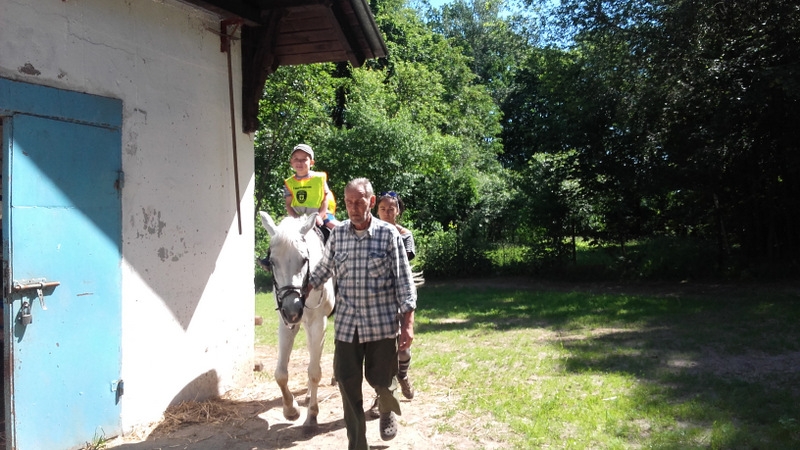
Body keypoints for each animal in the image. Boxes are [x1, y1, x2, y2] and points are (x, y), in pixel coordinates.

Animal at [258, 211, 335, 427]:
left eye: (304, 259)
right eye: (272, 262)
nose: (292, 308)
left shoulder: (318, 324)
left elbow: (314, 371)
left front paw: (312, 415)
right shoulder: (287, 325)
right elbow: (281, 374)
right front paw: (291, 410)